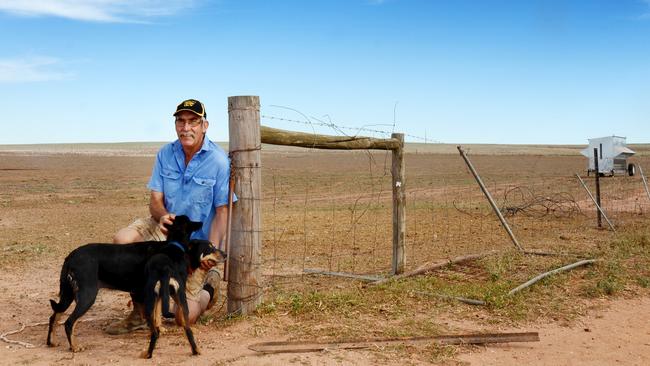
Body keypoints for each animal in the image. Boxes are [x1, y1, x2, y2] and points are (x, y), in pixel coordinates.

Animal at [46, 214, 201, 352]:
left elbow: (157, 316)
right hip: (87, 295)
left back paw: (51, 342)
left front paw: (160, 330)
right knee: (69, 322)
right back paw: (75, 347)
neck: (172, 245)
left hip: (68, 294)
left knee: (54, 316)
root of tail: (71, 256)